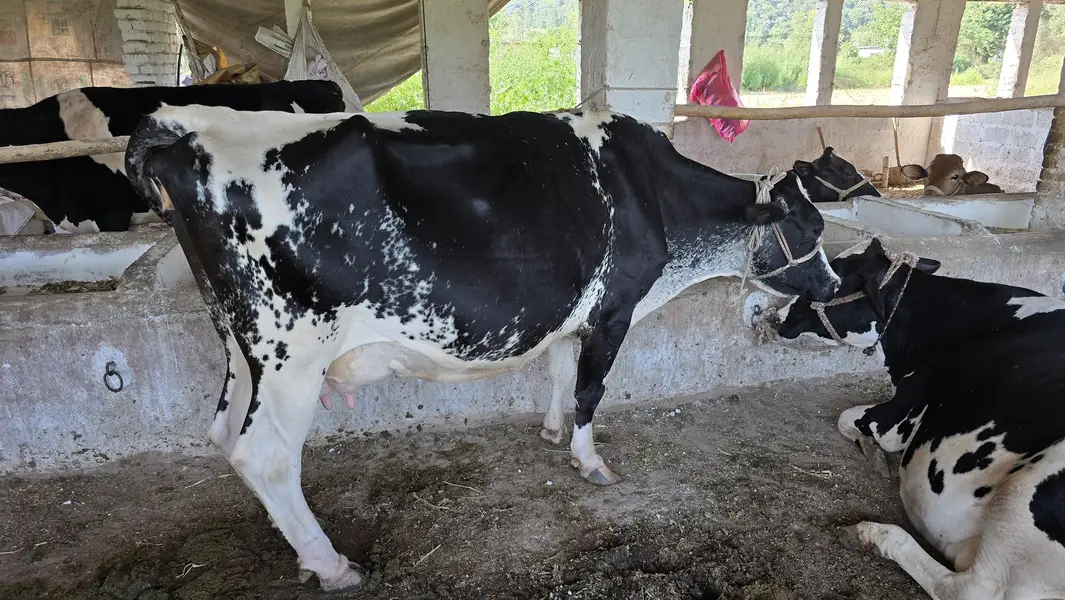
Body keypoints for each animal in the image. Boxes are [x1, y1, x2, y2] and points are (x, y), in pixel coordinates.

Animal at [125, 105, 839, 590]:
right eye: (809, 230)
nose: (833, 284)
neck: (656, 196)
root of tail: (188, 130)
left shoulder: (571, 312)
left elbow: (558, 369)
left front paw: (550, 431)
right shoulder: (615, 310)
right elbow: (591, 389)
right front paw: (589, 460)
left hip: (237, 344)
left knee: (224, 435)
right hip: (290, 356)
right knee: (267, 457)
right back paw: (331, 564)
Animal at [776, 237, 1065, 600]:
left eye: (831, 285)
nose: (775, 316)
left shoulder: (899, 415)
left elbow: (848, 419)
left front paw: (872, 451)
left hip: (1022, 496)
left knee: (969, 588)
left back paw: (877, 534)